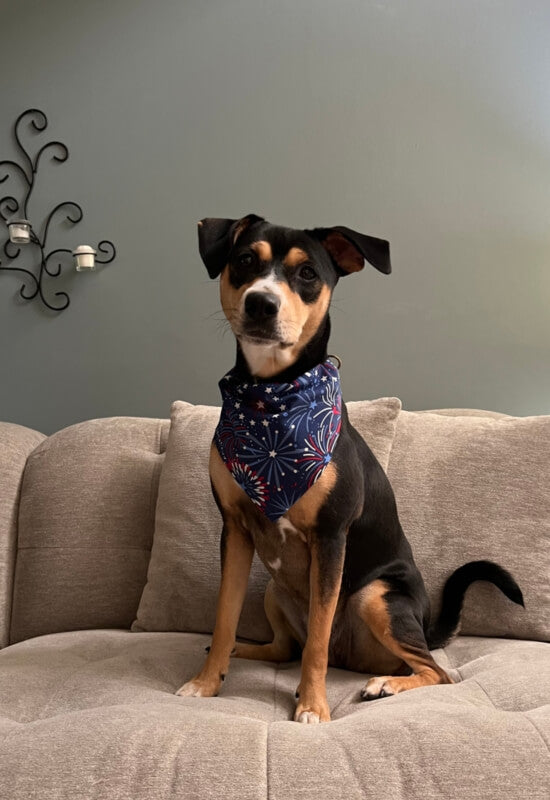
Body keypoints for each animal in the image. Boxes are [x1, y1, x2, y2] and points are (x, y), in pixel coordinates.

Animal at [177, 214, 528, 724]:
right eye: (244, 260)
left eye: (307, 274)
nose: (261, 303)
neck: (273, 400)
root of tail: (424, 622)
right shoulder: (236, 530)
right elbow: (224, 618)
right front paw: (206, 682)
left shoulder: (331, 539)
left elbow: (317, 644)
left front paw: (312, 707)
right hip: (274, 591)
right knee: (284, 647)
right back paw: (246, 650)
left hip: (374, 596)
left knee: (436, 671)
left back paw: (386, 682)